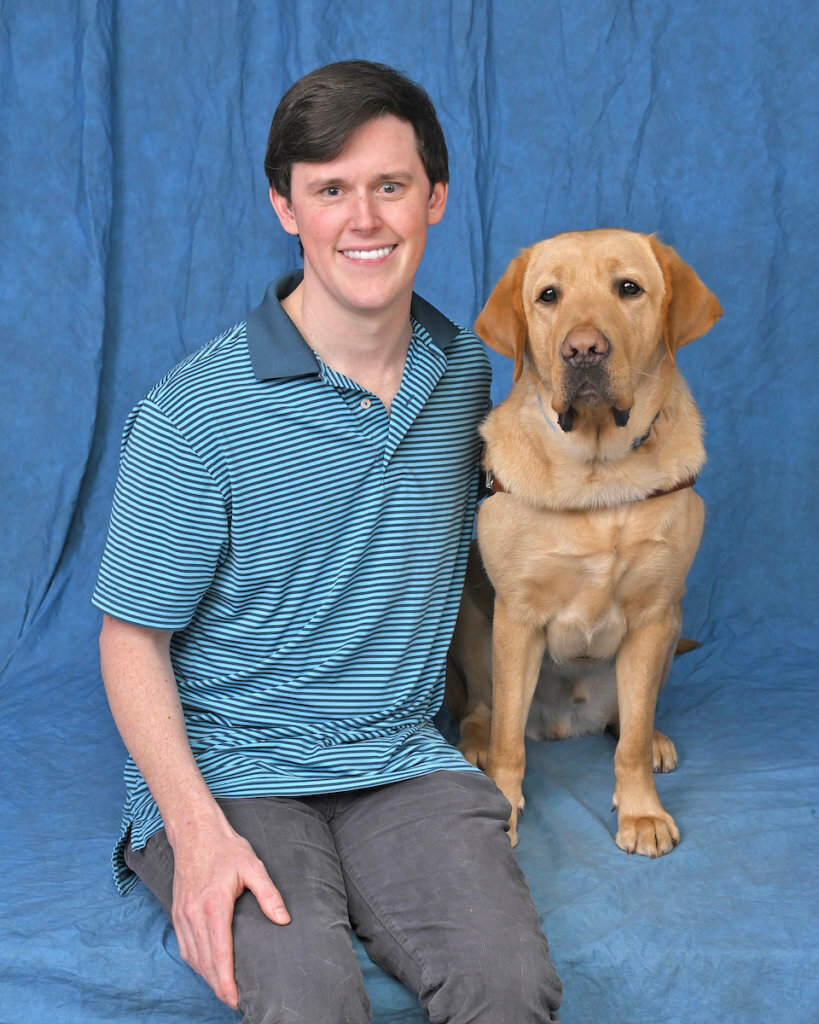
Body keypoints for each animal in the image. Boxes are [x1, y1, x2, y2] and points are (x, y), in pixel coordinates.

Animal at [448, 230, 724, 856]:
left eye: (629, 288)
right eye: (548, 296)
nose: (583, 350)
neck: (598, 471)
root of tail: (562, 723)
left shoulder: (651, 616)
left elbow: (631, 743)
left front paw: (641, 811)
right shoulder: (517, 617)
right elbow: (509, 743)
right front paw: (504, 805)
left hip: (671, 624)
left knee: (631, 722)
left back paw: (654, 740)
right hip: (473, 620)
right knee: (483, 710)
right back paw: (474, 742)